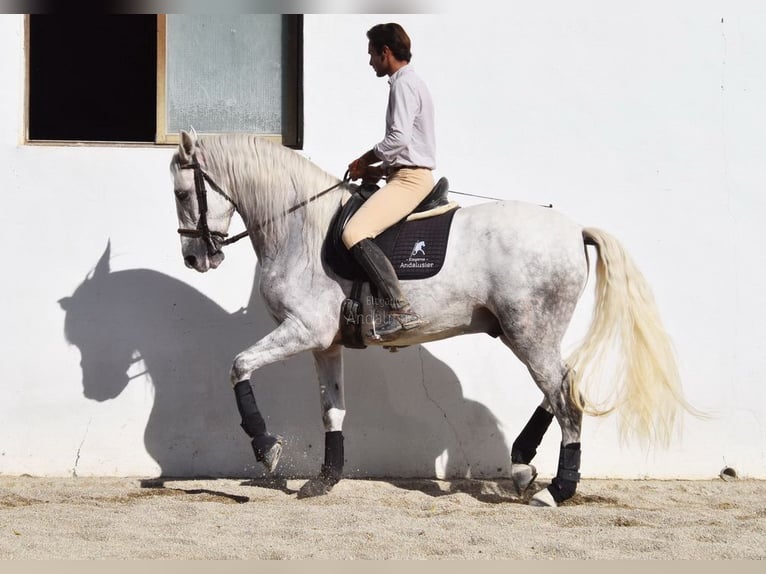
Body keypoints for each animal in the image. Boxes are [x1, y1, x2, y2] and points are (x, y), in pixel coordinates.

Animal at [169, 130, 697, 506]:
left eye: (181, 193)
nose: (195, 259)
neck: (299, 227)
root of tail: (574, 230)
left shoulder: (303, 331)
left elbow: (239, 365)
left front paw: (267, 448)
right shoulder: (326, 343)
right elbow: (332, 409)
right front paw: (325, 481)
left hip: (530, 332)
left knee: (565, 397)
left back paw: (557, 489)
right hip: (528, 334)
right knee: (565, 385)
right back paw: (523, 464)